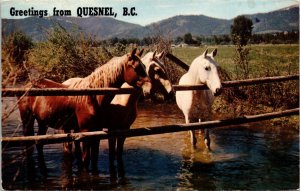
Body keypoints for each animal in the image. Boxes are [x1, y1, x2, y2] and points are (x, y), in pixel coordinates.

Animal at [17, 48, 148, 173]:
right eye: (136, 67)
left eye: (144, 67)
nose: (148, 88)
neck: (92, 96)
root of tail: (27, 86)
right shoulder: (85, 132)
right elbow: (86, 159)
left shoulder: (97, 131)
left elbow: (94, 157)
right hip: (27, 120)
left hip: (42, 122)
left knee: (39, 143)